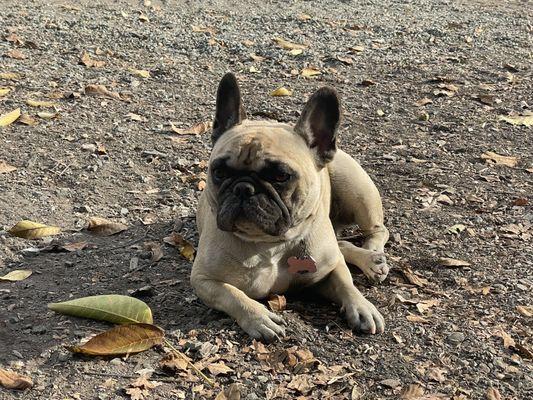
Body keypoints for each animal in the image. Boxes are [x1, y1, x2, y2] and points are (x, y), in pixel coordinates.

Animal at [189, 72, 388, 340]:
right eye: (219, 172)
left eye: (281, 176)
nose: (243, 188)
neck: (269, 244)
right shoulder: (204, 279)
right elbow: (232, 294)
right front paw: (259, 317)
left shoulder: (329, 267)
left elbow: (346, 283)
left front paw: (362, 307)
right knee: (343, 244)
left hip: (358, 190)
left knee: (375, 231)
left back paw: (372, 256)